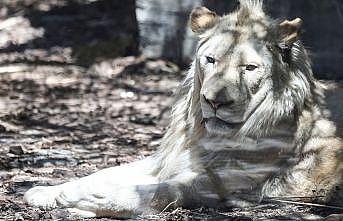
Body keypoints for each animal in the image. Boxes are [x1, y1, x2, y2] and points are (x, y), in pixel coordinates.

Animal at [24, 0, 343, 218]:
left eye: (249, 68)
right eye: (211, 60)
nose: (215, 101)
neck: (206, 135)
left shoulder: (234, 181)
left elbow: (169, 189)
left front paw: (99, 199)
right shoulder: (168, 160)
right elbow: (108, 171)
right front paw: (50, 190)